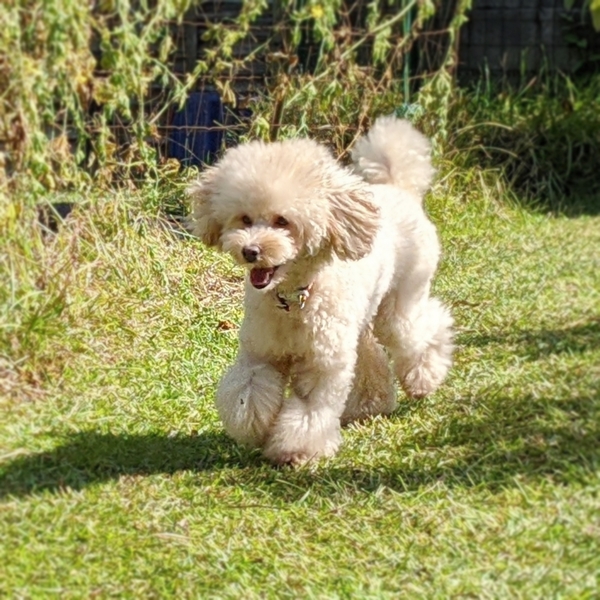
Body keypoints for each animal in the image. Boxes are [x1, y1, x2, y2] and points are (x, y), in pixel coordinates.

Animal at [188, 116, 453, 465]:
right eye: (245, 218)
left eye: (282, 221)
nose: (250, 251)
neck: (293, 300)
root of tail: (399, 189)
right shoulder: (261, 352)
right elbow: (248, 392)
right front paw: (255, 427)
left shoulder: (321, 364)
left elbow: (310, 410)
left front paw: (296, 450)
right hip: (357, 320)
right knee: (369, 354)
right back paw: (370, 404)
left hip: (401, 299)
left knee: (422, 329)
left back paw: (424, 380)